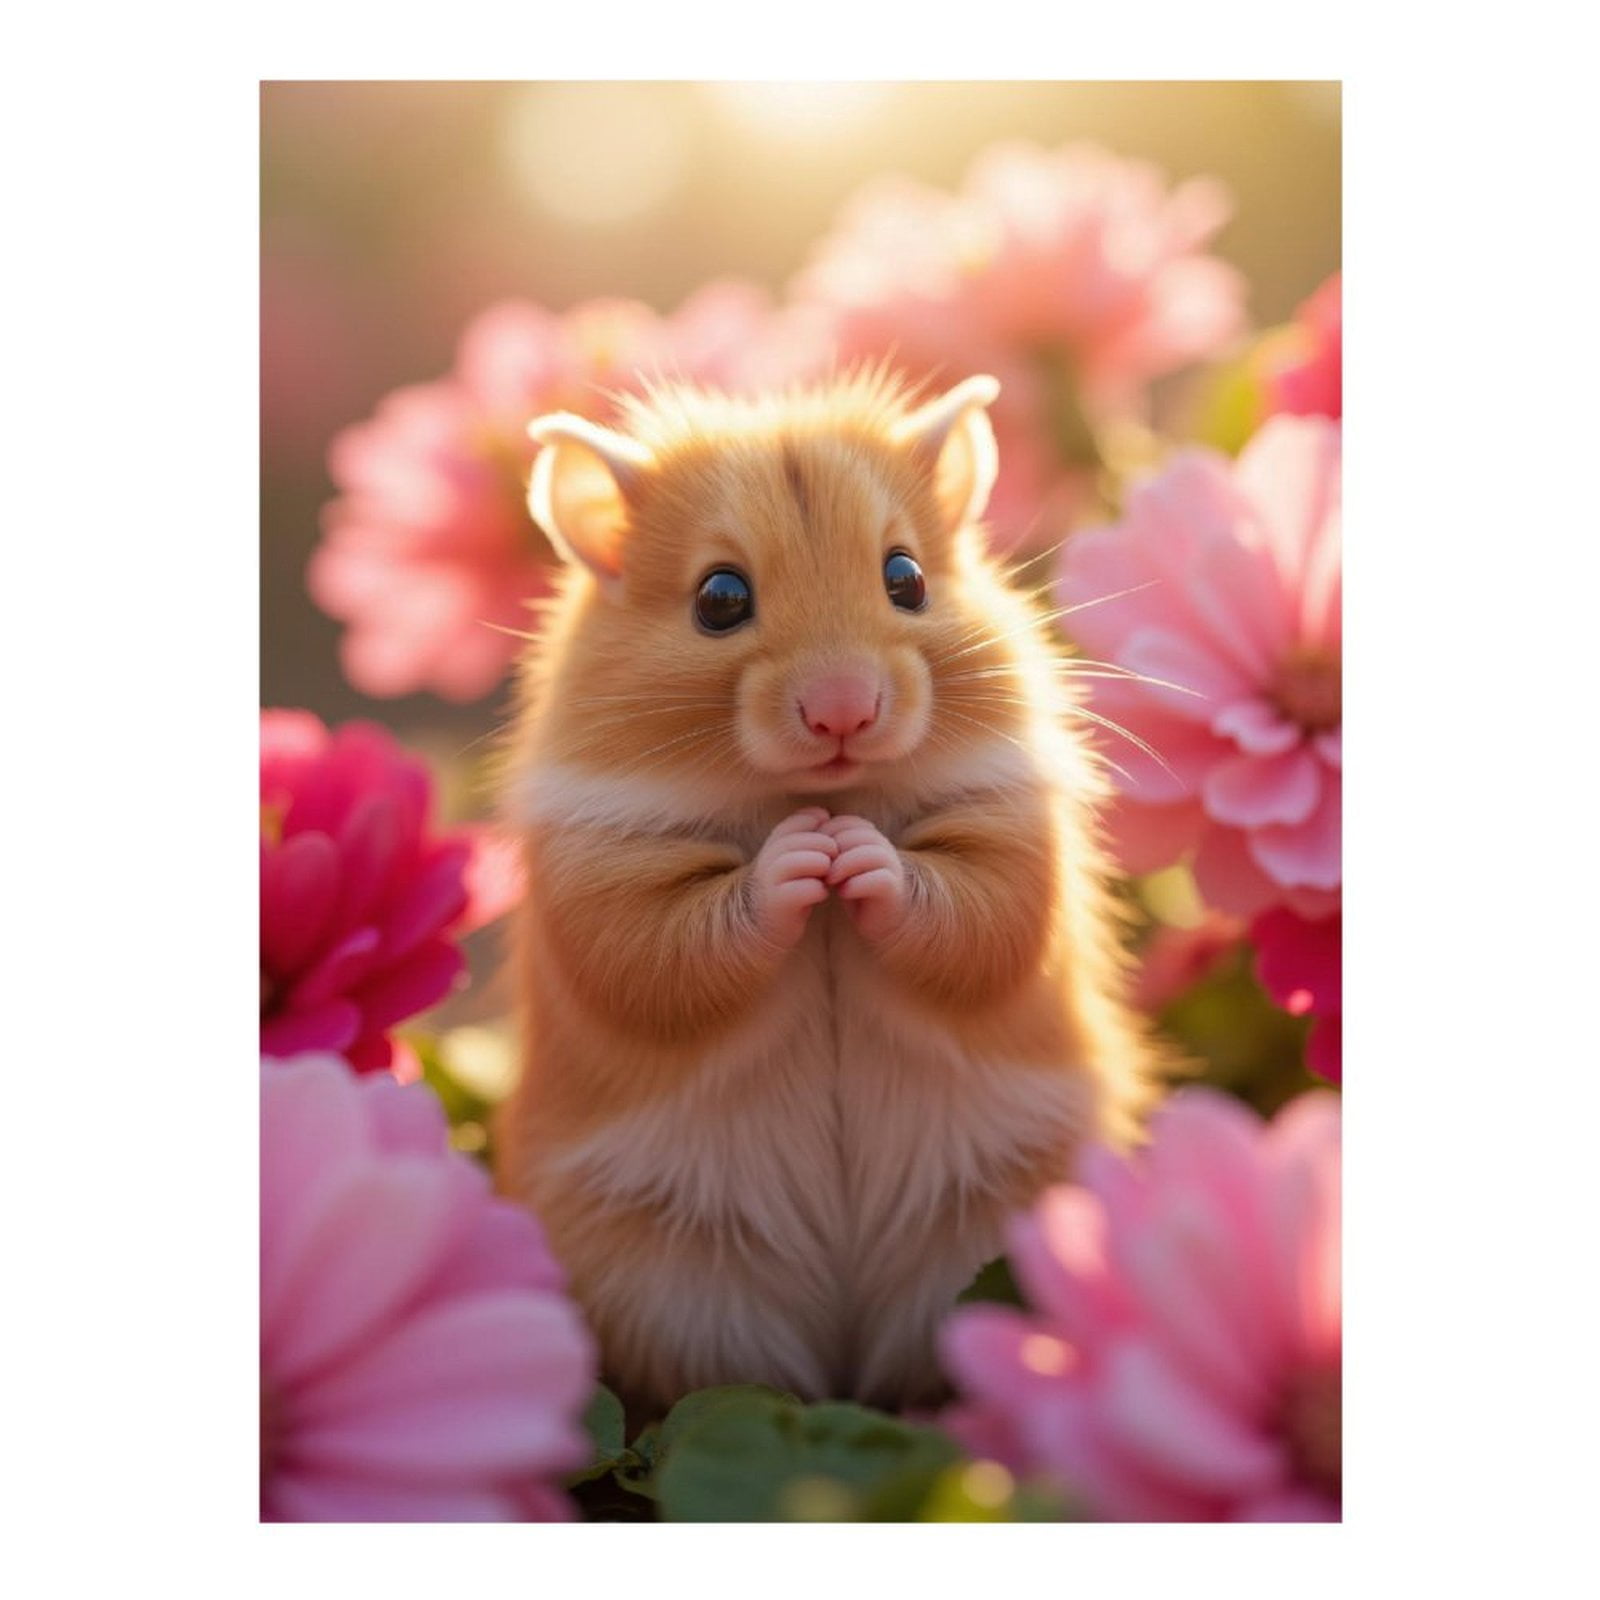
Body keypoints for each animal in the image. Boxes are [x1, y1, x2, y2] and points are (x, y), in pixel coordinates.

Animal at [493, 370, 1157, 1415]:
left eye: (907, 577)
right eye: (719, 598)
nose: (844, 711)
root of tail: (846, 1359)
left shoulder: (1011, 837)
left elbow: (965, 906)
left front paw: (854, 854)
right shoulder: (604, 878)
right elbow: (683, 937)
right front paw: (810, 852)